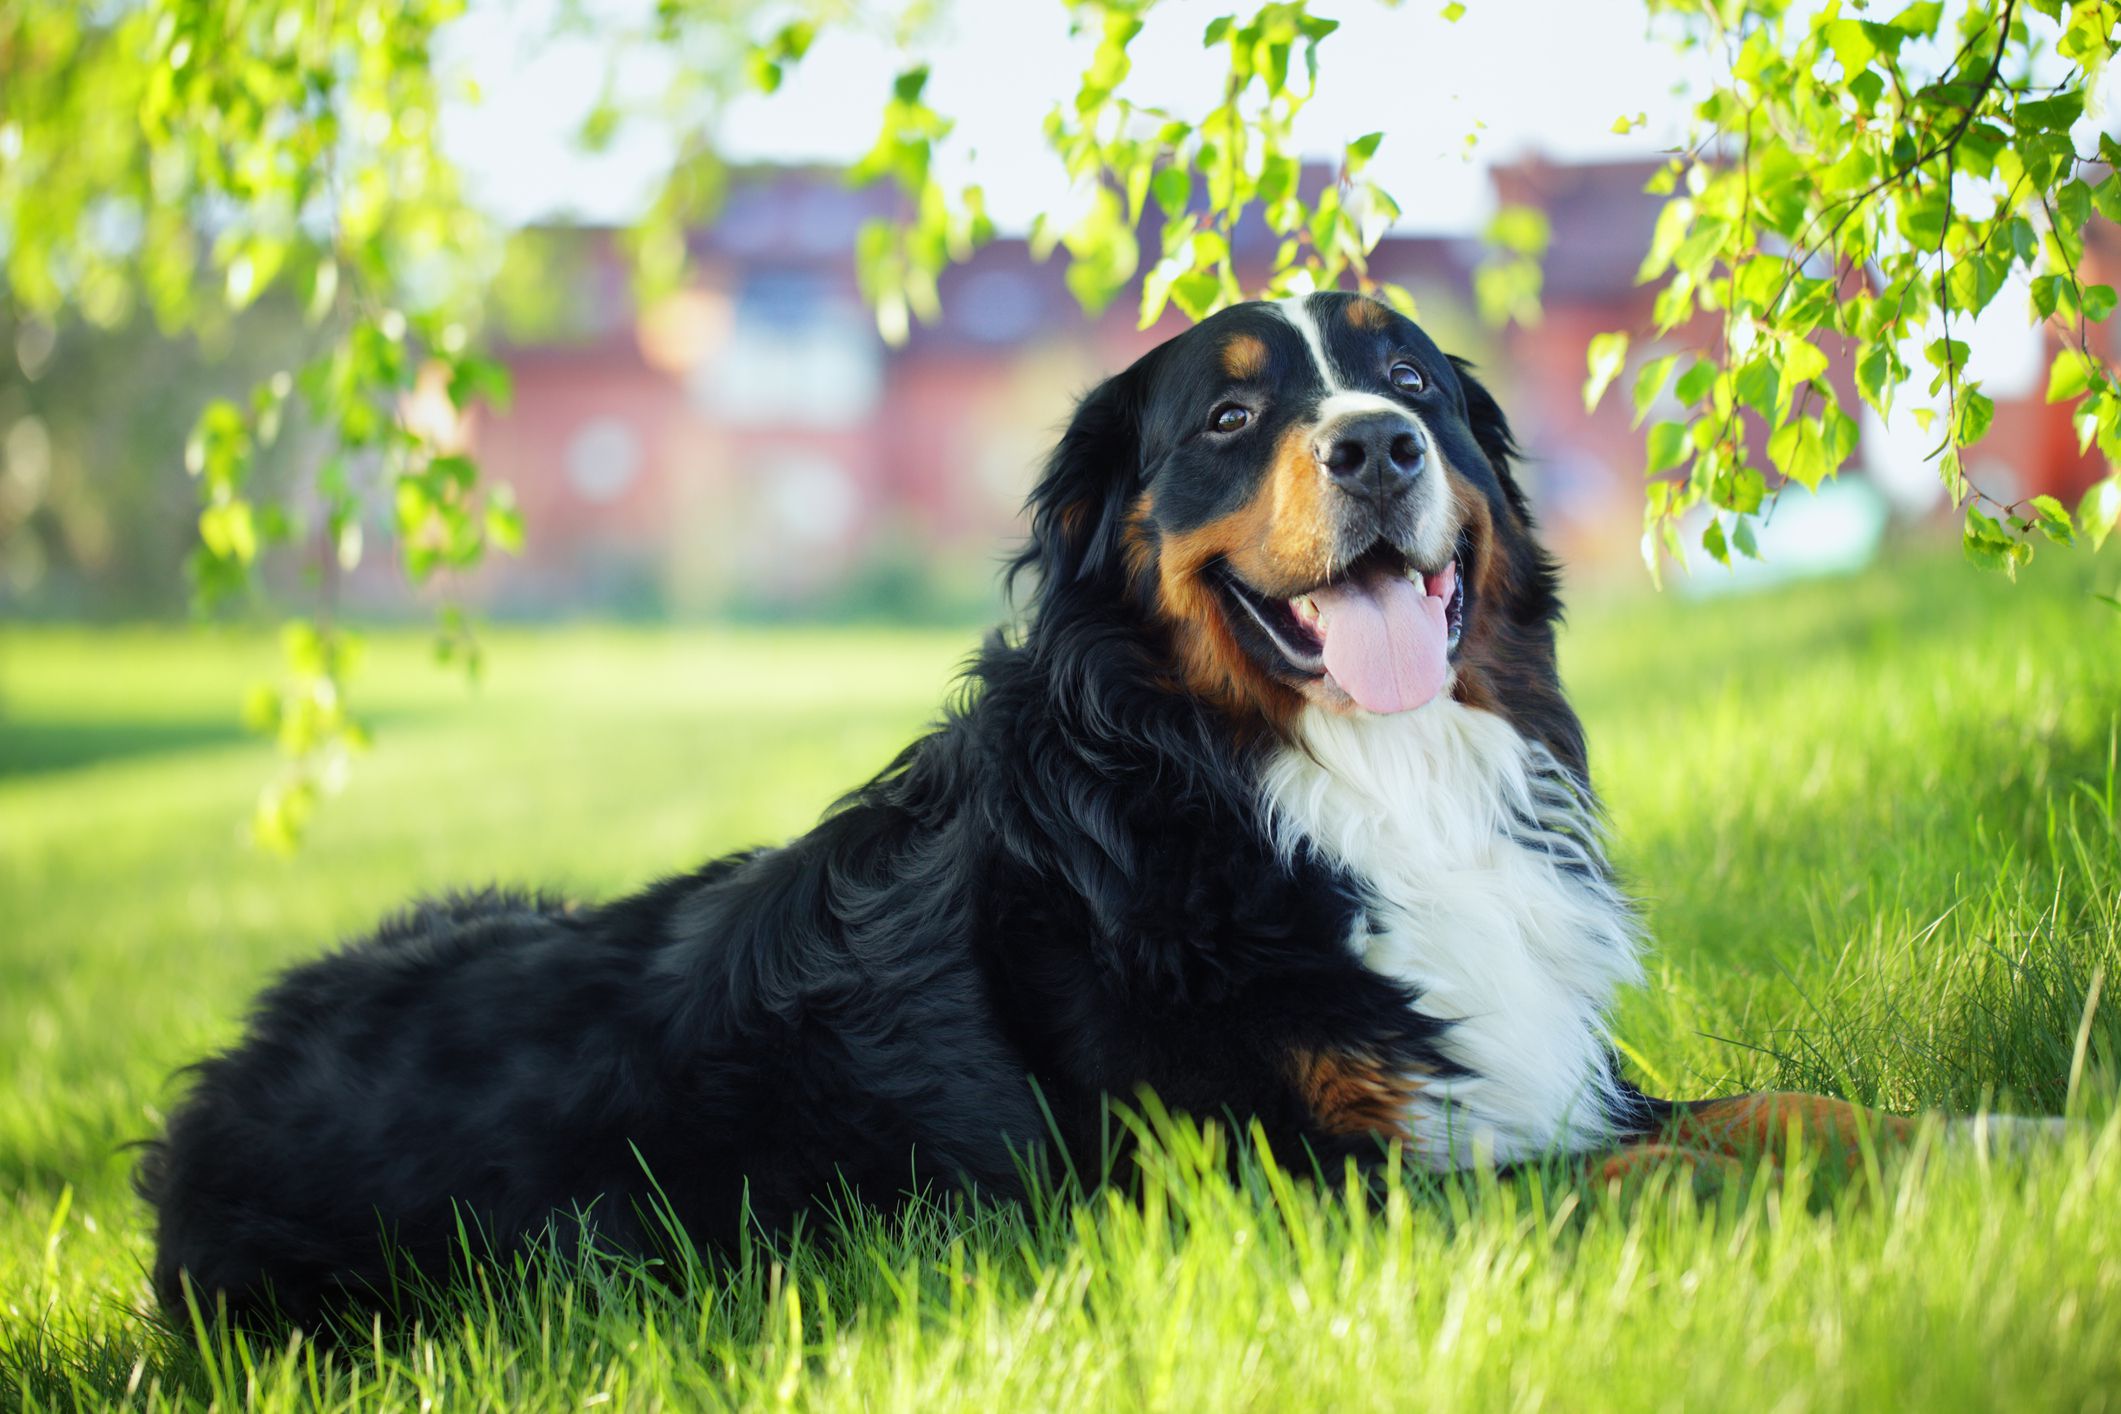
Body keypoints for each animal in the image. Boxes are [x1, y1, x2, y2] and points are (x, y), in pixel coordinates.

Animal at [136, 290, 2053, 1331]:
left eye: (1413, 386)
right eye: (1230, 412)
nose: (1374, 446)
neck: (1327, 788)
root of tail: (208, 1094)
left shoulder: (1532, 1064)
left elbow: (1792, 1105)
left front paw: (2005, 1132)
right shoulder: (1289, 1187)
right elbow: (1658, 1171)